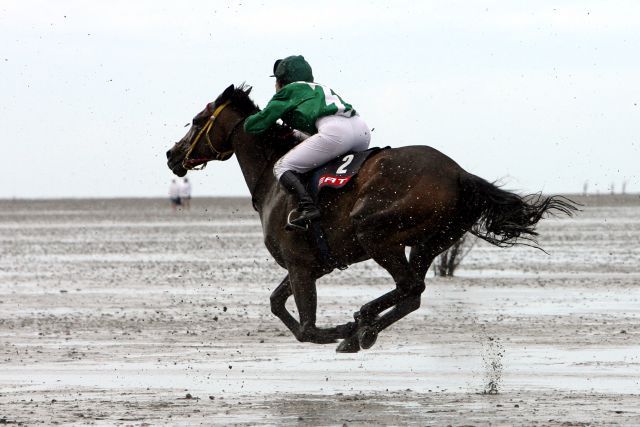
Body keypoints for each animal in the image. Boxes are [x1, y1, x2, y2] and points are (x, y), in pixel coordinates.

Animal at [165, 83, 576, 354]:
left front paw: (342, 328)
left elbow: (307, 328)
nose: (172, 155)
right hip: (430, 242)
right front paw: (347, 328)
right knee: (414, 292)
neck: (272, 175)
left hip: (375, 232)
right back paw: (365, 327)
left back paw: (361, 324)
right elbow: (277, 304)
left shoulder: (300, 266)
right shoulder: (312, 266)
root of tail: (459, 173)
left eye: (197, 119)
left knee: (410, 286)